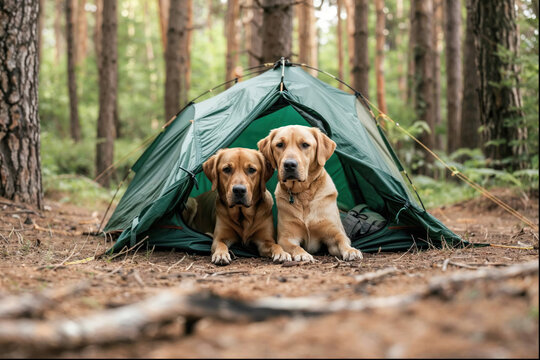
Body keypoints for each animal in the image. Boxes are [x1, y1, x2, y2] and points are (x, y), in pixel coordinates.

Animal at [258, 126, 362, 262]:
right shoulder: (286, 237)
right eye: (279, 144)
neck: (303, 194)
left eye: (305, 145)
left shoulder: (334, 232)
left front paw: (351, 251)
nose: (289, 164)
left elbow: (342, 240)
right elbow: (295, 247)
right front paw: (302, 254)